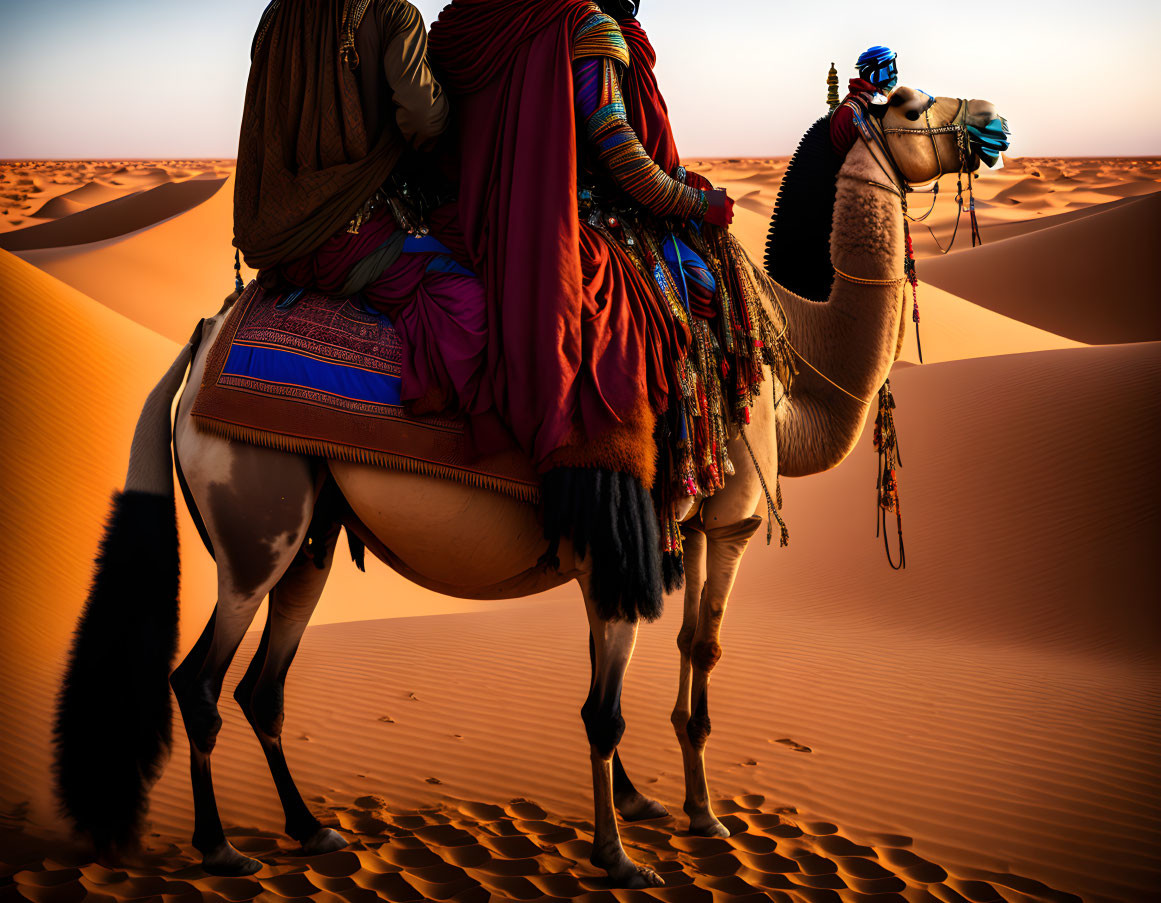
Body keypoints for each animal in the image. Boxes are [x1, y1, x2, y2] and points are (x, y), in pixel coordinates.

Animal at [54, 88, 998, 882]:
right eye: (910, 101)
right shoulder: (712, 522)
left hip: (310, 530)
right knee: (199, 680)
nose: (989, 121)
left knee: (262, 682)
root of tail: (201, 345)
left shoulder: (658, 531)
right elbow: (642, 682)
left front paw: (672, 808)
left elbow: (666, 656)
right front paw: (631, 850)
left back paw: (311, 828)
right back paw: (218, 847)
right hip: (254, 528)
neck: (778, 349)